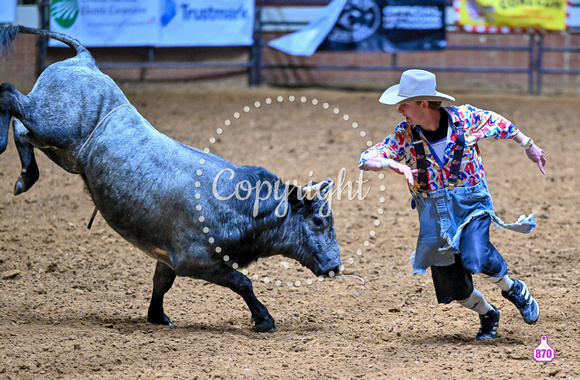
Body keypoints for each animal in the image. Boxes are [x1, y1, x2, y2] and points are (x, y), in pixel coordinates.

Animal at [0, 24, 342, 332]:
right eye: (318, 221)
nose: (337, 267)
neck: (239, 205)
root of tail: (84, 61)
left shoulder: (166, 256)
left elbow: (161, 283)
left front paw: (157, 316)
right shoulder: (196, 260)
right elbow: (242, 282)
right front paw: (264, 320)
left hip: (63, 151)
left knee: (23, 131)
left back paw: (25, 177)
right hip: (54, 125)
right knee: (10, 96)